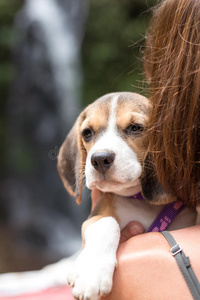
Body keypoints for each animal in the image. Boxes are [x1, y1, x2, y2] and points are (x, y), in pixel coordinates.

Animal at [57, 91, 197, 300]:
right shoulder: (96, 216)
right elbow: (107, 222)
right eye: (87, 133)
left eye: (135, 128)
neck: (140, 200)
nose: (100, 159)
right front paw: (91, 273)